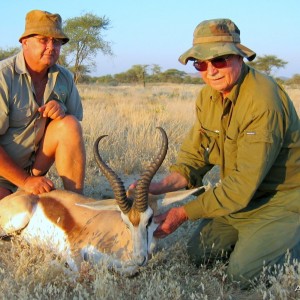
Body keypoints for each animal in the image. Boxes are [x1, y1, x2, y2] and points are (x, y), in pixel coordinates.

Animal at [0, 127, 206, 276]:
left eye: (150, 219)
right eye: (125, 221)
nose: (139, 258)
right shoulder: (73, 249)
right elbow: (84, 272)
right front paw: (52, 262)